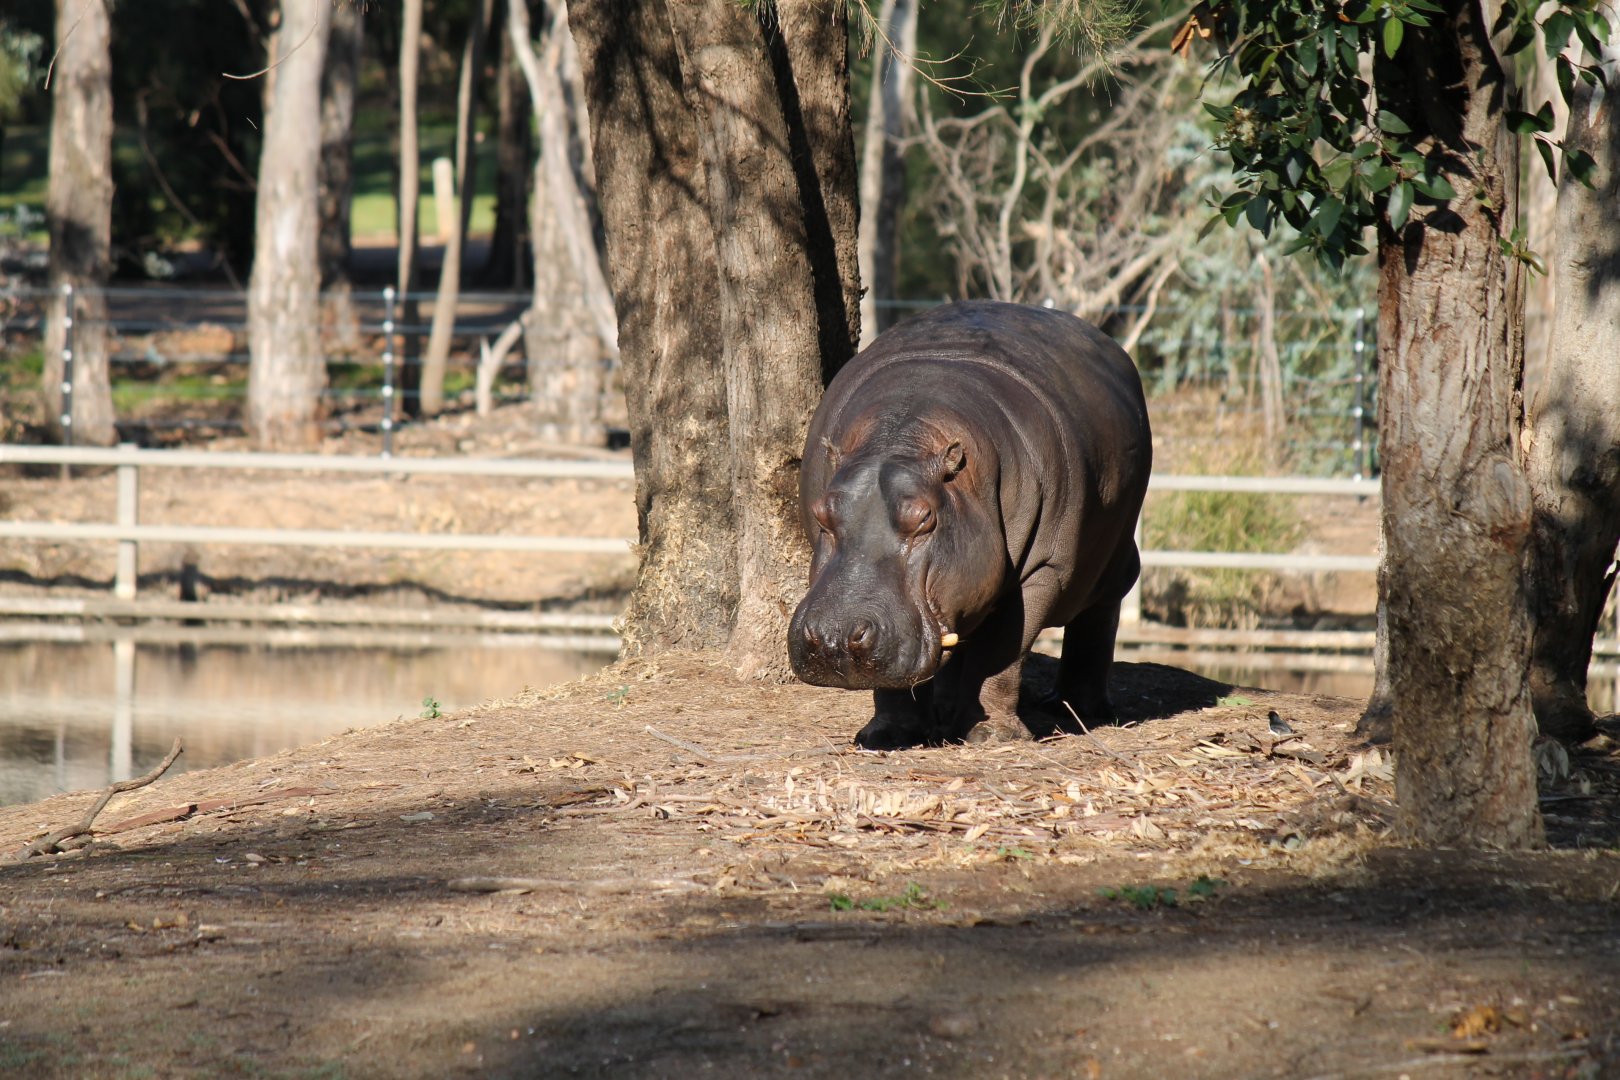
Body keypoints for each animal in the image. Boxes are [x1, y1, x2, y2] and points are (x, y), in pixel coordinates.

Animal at [788, 300, 1152, 749]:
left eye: (925, 519)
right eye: (822, 513)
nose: (835, 638)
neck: (901, 438)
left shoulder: (1043, 570)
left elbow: (1002, 651)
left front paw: (993, 735)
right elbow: (899, 676)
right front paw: (890, 735)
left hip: (1115, 557)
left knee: (1098, 618)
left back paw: (1079, 711)